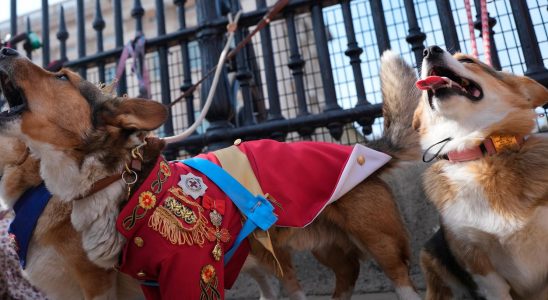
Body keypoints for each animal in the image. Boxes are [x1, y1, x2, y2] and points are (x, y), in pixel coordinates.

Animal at [0, 47, 422, 300]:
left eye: (61, 77)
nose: (6, 47)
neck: (120, 181)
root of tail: (370, 150)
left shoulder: (190, 272)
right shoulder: (150, 281)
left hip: (377, 237)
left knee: (398, 276)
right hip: (323, 243)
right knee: (345, 272)